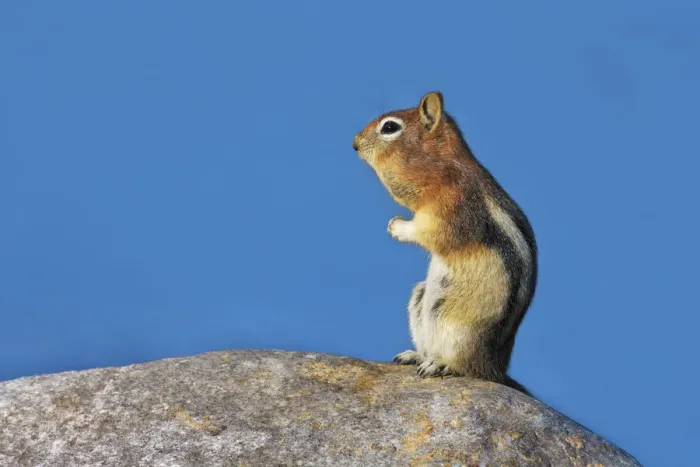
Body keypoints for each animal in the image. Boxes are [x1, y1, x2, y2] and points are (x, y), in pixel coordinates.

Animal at [352, 91, 537, 393]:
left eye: (389, 127)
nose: (354, 143)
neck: (445, 165)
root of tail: (495, 369)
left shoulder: (449, 207)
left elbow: (428, 232)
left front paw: (397, 226)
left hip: (456, 325)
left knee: (466, 368)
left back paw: (441, 365)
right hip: (420, 300)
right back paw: (415, 356)